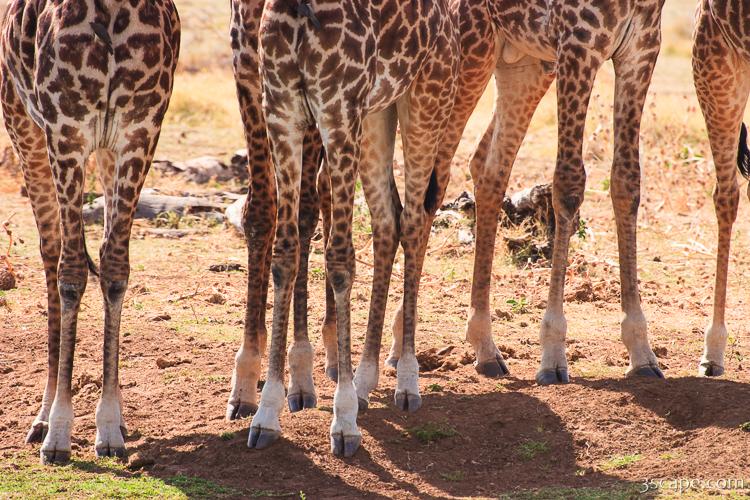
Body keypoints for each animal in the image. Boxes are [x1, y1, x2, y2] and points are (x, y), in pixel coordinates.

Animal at [1, 0, 180, 463]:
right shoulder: (66, 131)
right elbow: (71, 273)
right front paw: (59, 432)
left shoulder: (138, 133)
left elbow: (115, 269)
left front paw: (110, 427)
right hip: (23, 125)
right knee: (51, 252)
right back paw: (42, 418)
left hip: (101, 150)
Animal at [245, 0, 458, 457]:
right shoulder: (282, 113)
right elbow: (285, 254)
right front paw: (266, 413)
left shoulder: (337, 114)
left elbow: (340, 260)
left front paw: (343, 422)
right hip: (377, 115)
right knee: (388, 220)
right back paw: (365, 382)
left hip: (424, 101)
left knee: (414, 223)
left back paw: (407, 381)